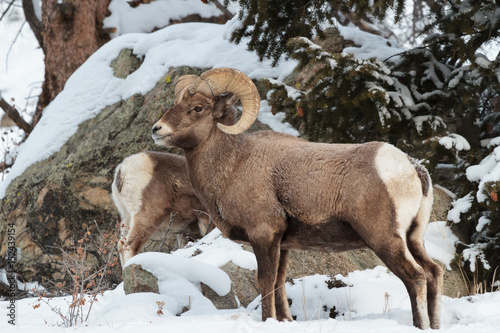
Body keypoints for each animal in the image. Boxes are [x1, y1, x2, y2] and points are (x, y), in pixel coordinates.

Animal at [150, 68, 444, 330]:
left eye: (198, 108)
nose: (157, 129)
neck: (233, 164)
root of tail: (412, 167)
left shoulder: (264, 234)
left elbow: (266, 282)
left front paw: (267, 321)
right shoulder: (283, 244)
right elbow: (280, 283)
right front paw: (284, 321)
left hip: (384, 238)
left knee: (415, 277)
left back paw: (420, 325)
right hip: (413, 238)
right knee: (434, 272)